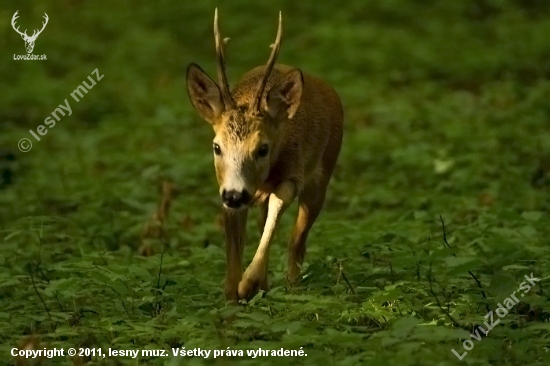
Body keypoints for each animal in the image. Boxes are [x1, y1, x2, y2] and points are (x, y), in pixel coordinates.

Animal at [190, 9, 344, 300]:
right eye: (217, 147)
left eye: (263, 148)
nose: (235, 195)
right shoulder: (225, 186)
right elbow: (233, 259)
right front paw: (237, 291)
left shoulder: (293, 175)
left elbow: (277, 213)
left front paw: (250, 284)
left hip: (323, 174)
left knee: (297, 240)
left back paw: (291, 286)